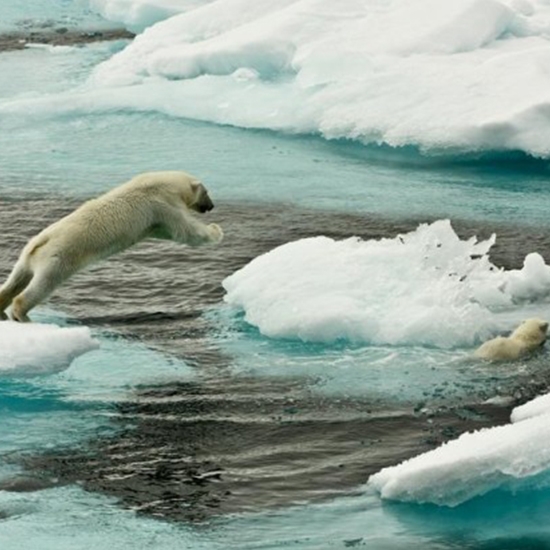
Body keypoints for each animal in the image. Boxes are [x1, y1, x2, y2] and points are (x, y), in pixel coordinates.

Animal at [0, 170, 224, 322]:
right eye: (207, 192)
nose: (212, 206)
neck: (165, 183)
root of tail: (39, 243)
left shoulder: (154, 220)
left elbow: (164, 232)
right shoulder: (162, 204)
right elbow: (186, 230)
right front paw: (216, 230)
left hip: (25, 259)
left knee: (14, 281)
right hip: (58, 259)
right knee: (42, 285)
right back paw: (22, 314)